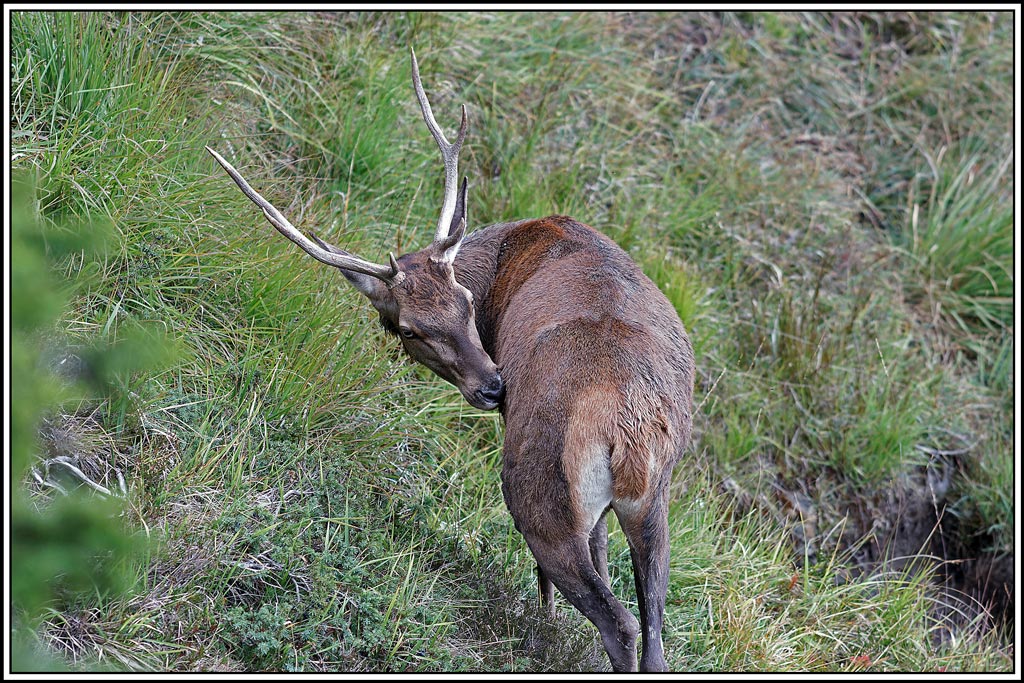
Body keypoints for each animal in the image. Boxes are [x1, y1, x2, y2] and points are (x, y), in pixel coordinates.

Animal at [207, 48, 695, 673]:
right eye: (410, 327)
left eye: (466, 299)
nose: (494, 387)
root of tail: (628, 433)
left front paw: (546, 625)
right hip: (656, 498)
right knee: (654, 626)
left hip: (536, 488)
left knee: (617, 617)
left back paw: (542, 637)